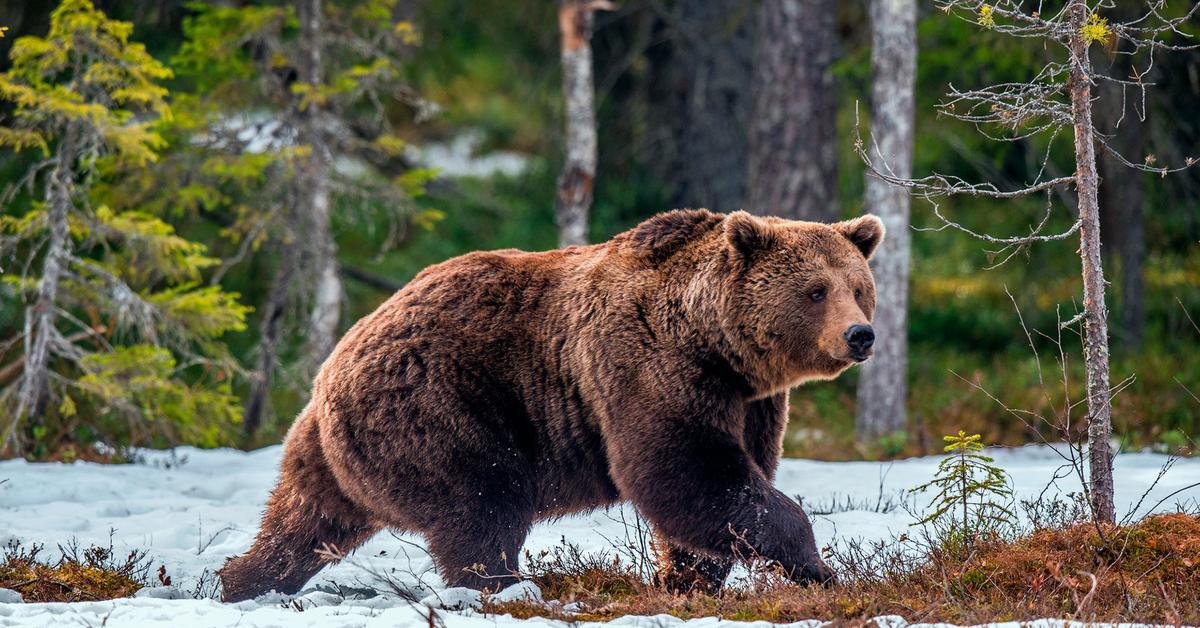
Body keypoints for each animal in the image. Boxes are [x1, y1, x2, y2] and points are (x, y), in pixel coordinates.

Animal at [220, 208, 888, 602]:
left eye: (859, 288)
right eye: (815, 290)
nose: (860, 335)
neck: (718, 344)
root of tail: (337, 356)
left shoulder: (751, 401)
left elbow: (725, 483)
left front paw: (688, 578)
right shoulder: (649, 368)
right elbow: (687, 471)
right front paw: (817, 566)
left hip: (331, 448)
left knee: (304, 521)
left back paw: (240, 581)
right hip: (442, 408)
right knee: (483, 504)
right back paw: (504, 588)